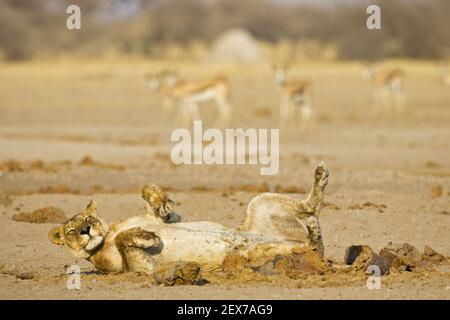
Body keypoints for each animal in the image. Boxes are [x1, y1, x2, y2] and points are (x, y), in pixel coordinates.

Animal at [49, 164, 328, 274]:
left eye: (88, 218)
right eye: (71, 231)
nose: (85, 229)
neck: (106, 236)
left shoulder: (166, 220)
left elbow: (148, 191)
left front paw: (161, 202)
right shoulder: (138, 270)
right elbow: (125, 241)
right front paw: (148, 237)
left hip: (259, 202)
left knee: (310, 209)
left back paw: (321, 177)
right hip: (255, 255)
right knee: (314, 244)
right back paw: (312, 233)